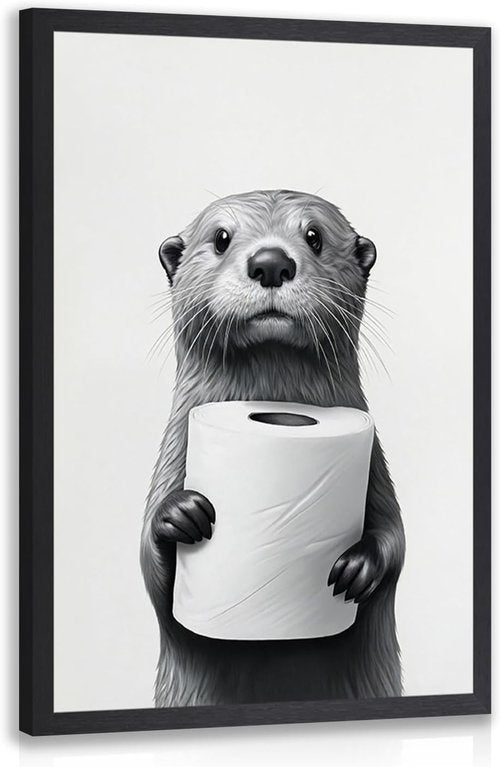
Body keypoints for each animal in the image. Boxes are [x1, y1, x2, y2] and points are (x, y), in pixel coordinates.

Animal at [141, 190, 405, 707]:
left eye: (314, 236)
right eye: (221, 237)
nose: (270, 262)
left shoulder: (376, 468)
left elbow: (396, 538)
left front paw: (358, 567)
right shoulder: (173, 456)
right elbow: (150, 569)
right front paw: (179, 514)